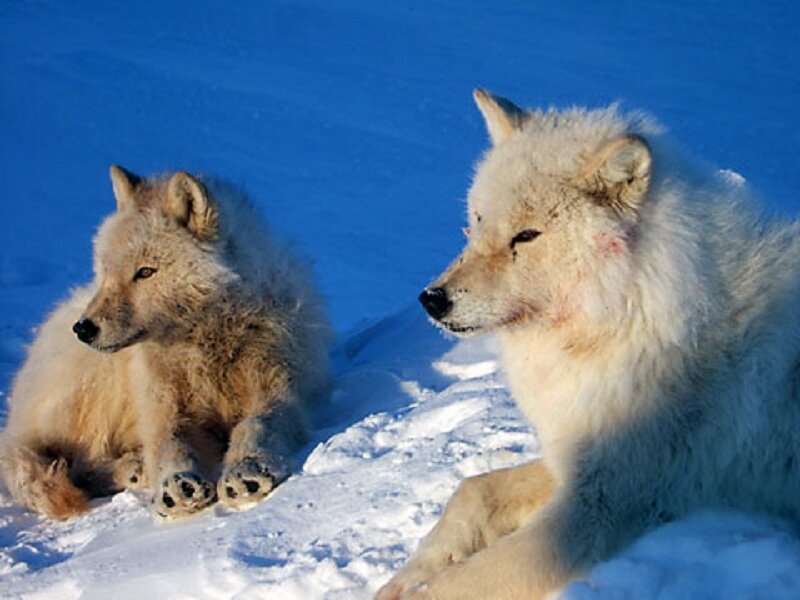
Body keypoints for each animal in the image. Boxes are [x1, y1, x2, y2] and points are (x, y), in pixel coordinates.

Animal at [1, 166, 330, 520]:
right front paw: (177, 483)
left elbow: (257, 424)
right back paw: (136, 467)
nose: (84, 329)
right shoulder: (162, 404)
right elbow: (169, 443)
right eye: (106, 271)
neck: (208, 343)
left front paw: (247, 469)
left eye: (145, 272)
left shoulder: (279, 390)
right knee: (77, 464)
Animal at [378, 90, 800, 599]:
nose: (432, 299)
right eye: (477, 222)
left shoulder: (601, 504)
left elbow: (459, 583)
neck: (627, 311)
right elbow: (471, 492)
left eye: (526, 236)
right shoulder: (575, 462)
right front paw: (403, 577)